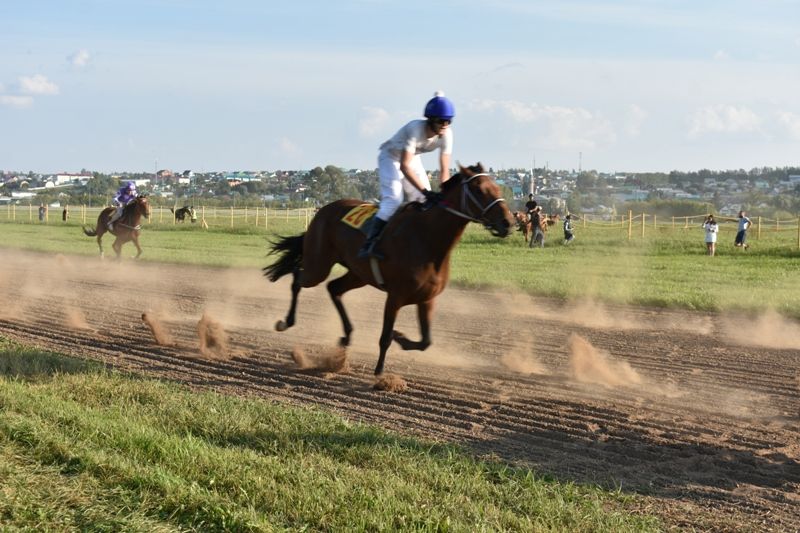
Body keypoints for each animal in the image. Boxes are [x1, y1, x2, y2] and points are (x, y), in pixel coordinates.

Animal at [262, 162, 512, 374]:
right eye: (480, 190)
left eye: (497, 187)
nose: (508, 221)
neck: (427, 240)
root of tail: (322, 210)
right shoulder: (395, 296)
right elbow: (385, 337)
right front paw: (379, 372)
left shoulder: (427, 298)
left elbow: (425, 342)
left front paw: (401, 337)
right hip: (319, 265)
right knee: (298, 278)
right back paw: (286, 322)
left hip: (358, 274)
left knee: (334, 288)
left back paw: (346, 336)